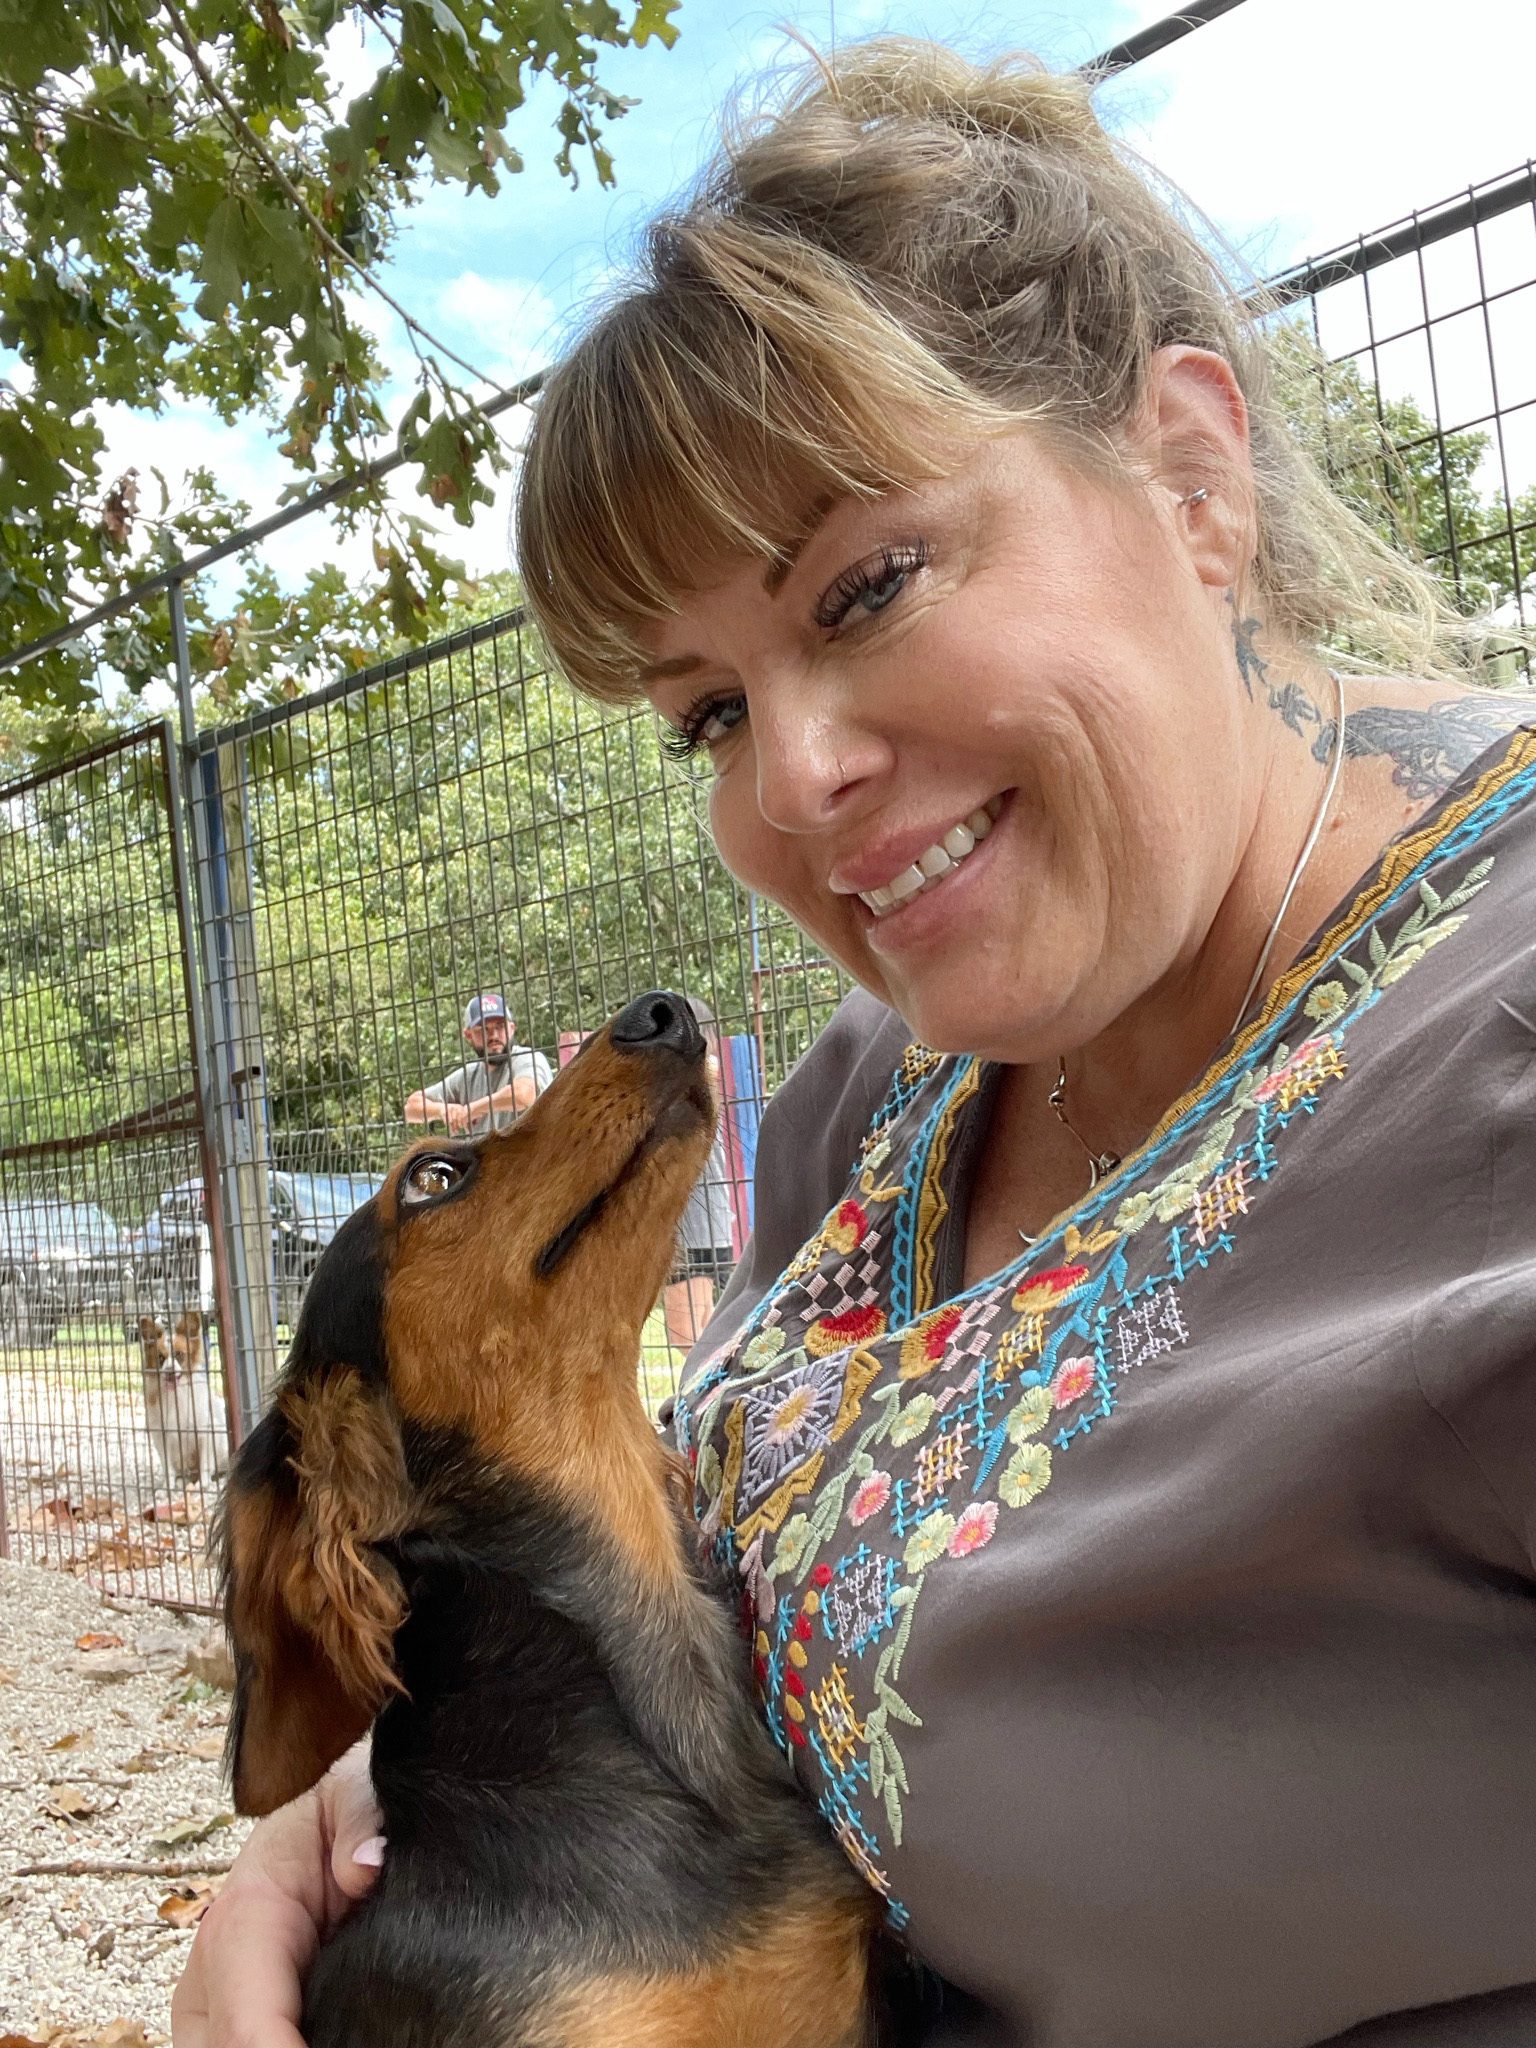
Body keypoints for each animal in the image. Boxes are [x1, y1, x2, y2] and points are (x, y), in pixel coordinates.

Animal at [139, 1310, 227, 1490]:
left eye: (179, 1355)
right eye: (160, 1357)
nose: (169, 1371)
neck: (175, 1394)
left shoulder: (206, 1431)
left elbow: (205, 1463)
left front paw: (203, 1484)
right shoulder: (161, 1436)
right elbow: (167, 1466)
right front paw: (168, 1485)